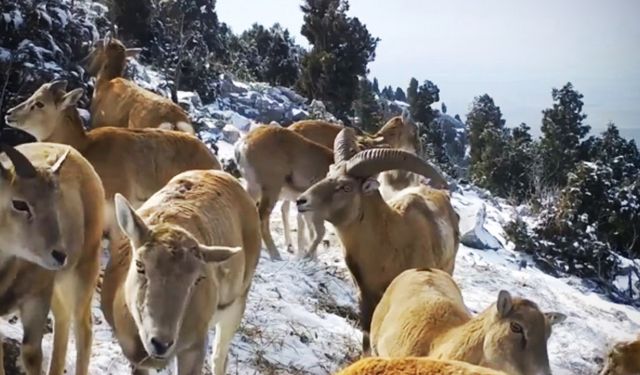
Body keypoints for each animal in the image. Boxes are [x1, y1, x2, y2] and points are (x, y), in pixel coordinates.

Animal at [0, 143, 104, 375]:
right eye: (19, 204)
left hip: (84, 270)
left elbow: (31, 354)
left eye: (55, 201)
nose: (59, 255)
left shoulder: (36, 300)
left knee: (83, 327)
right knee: (63, 319)